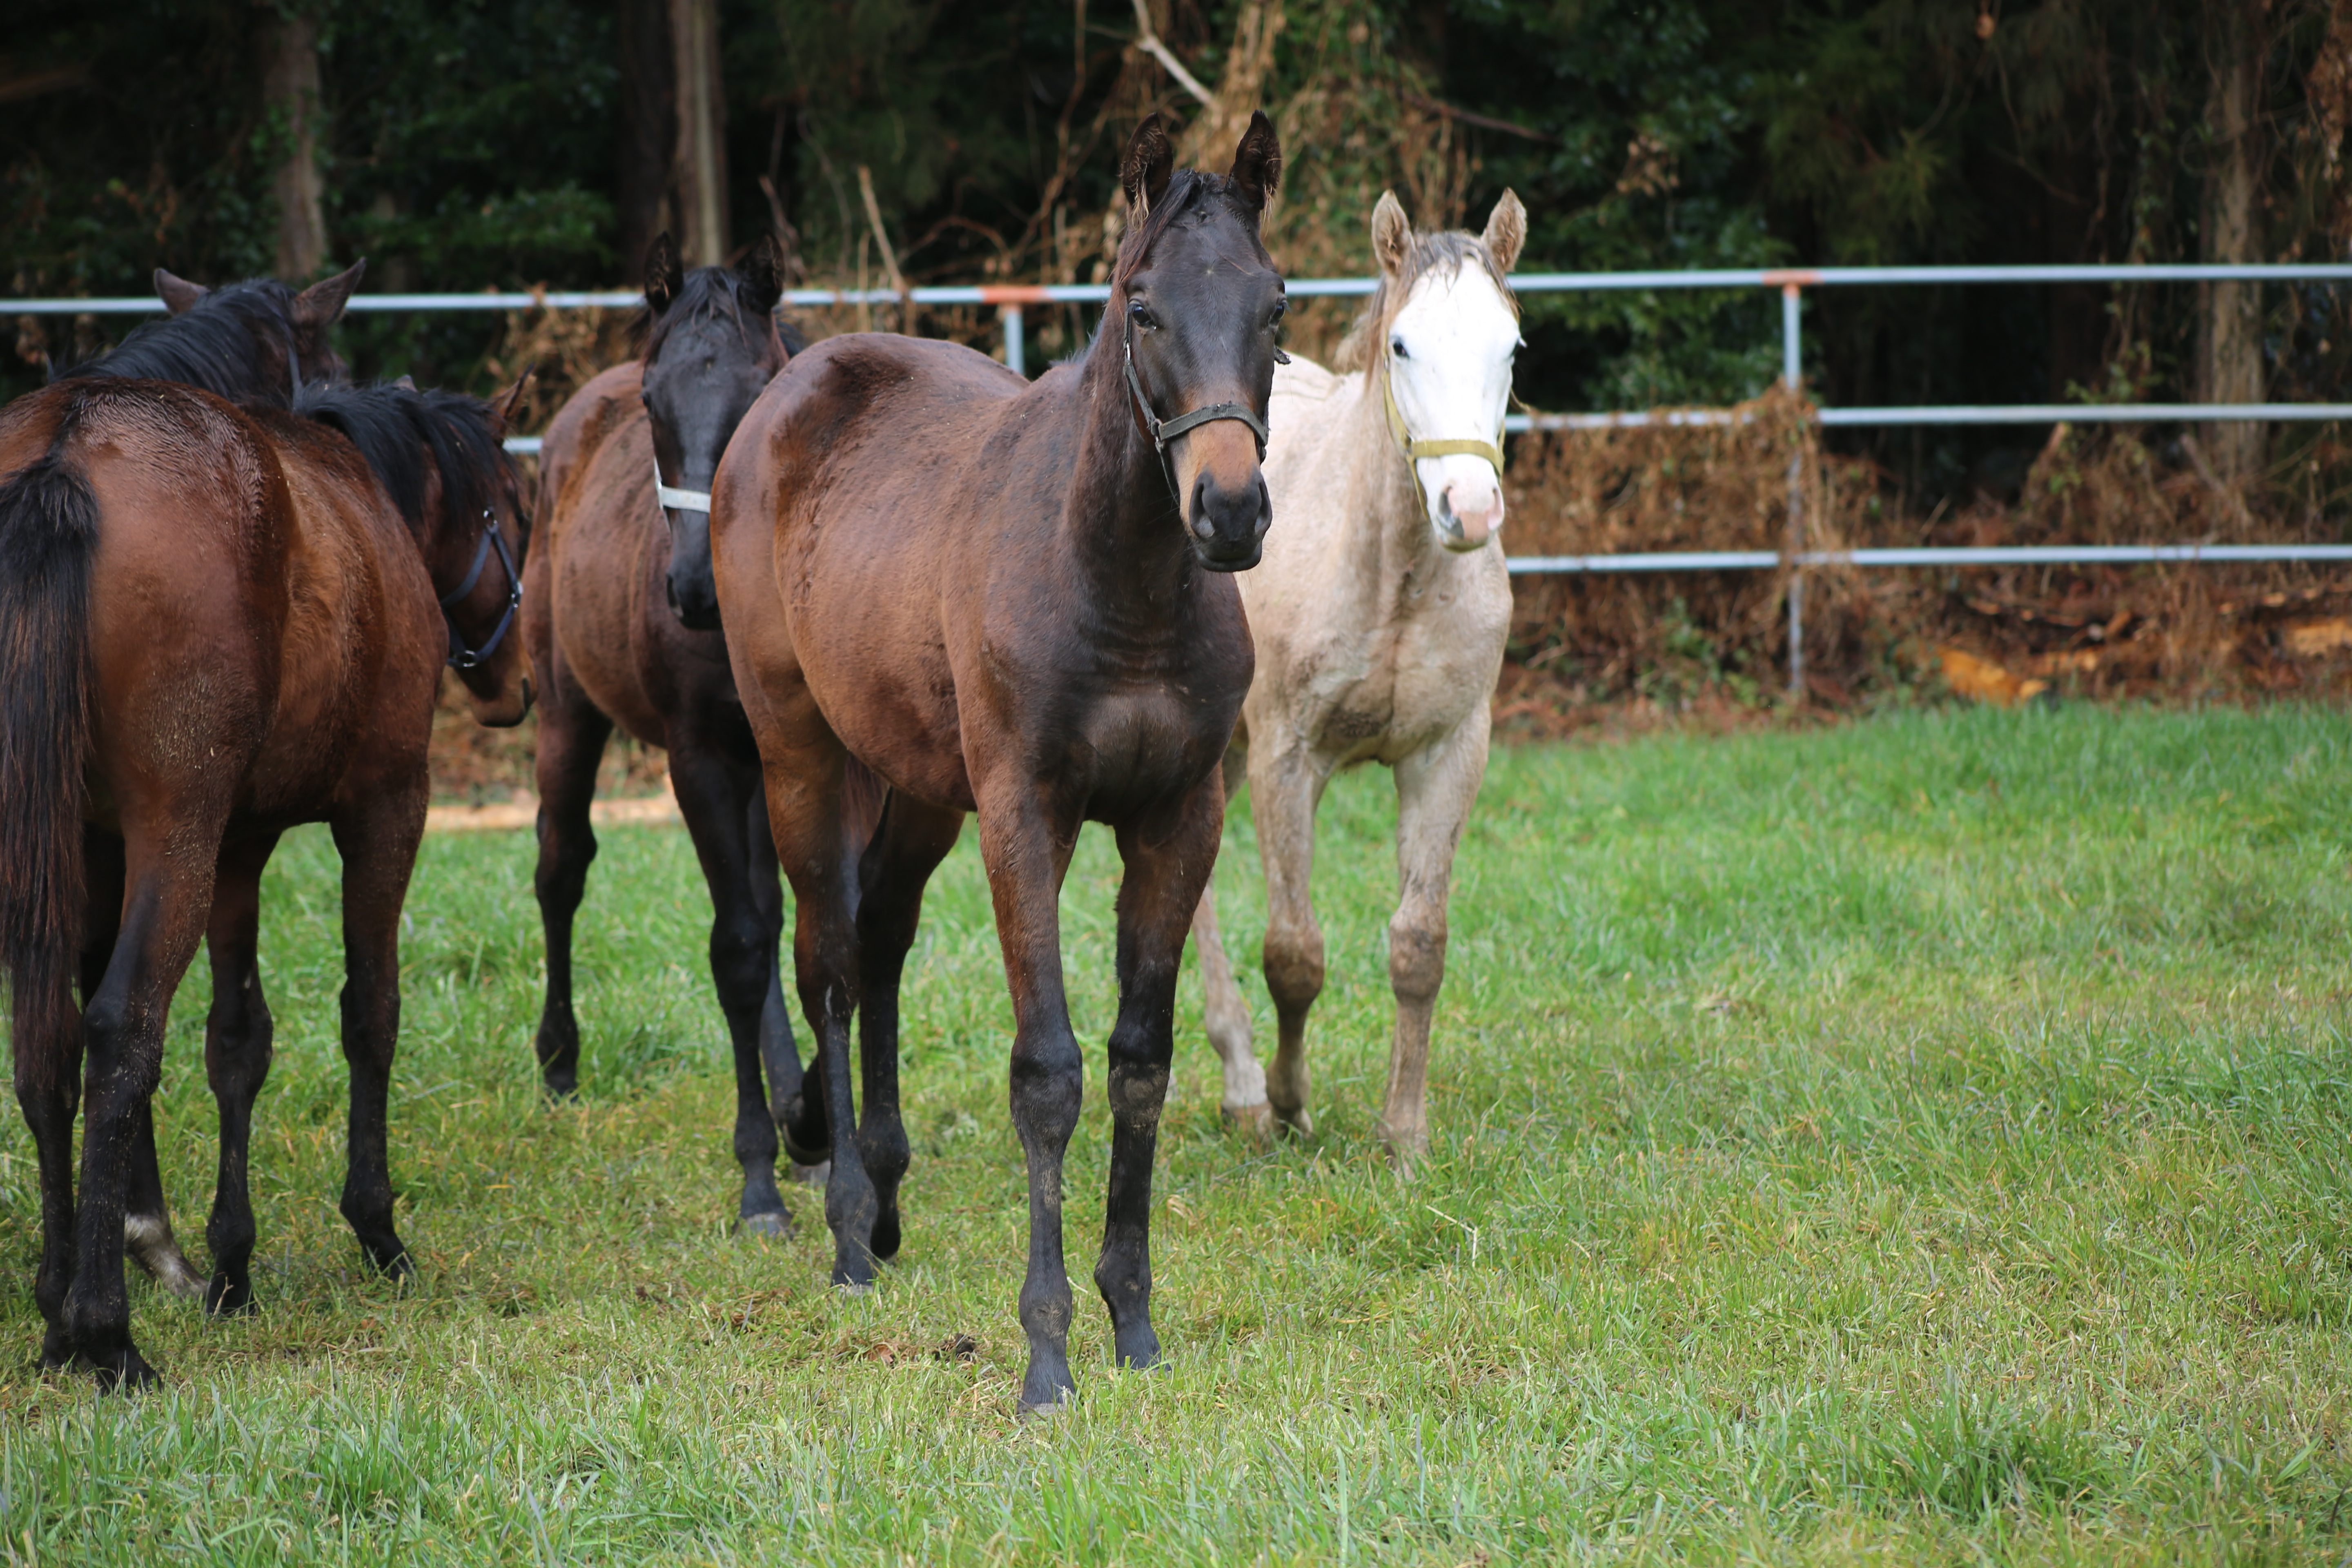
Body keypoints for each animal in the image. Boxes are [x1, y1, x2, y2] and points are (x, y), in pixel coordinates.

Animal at [1195, 190, 1524, 1161]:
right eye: (1402, 345)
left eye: (1512, 348)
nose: (1469, 511)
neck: (1389, 571)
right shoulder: (1287, 758)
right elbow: (1294, 953)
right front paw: (1289, 1102)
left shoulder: (1448, 756)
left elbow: (1419, 947)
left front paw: (1403, 1134)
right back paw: (1243, 1087)